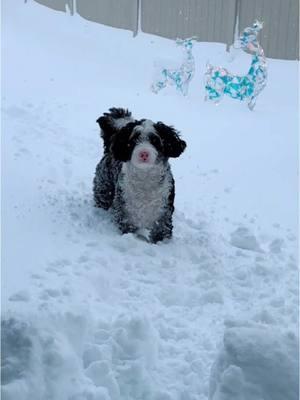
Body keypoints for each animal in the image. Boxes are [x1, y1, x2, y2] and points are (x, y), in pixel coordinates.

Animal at [92, 108, 186, 242]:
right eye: (133, 141)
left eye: (155, 141)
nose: (144, 153)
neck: (145, 179)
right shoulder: (125, 213)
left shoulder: (163, 214)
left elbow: (161, 233)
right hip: (103, 188)